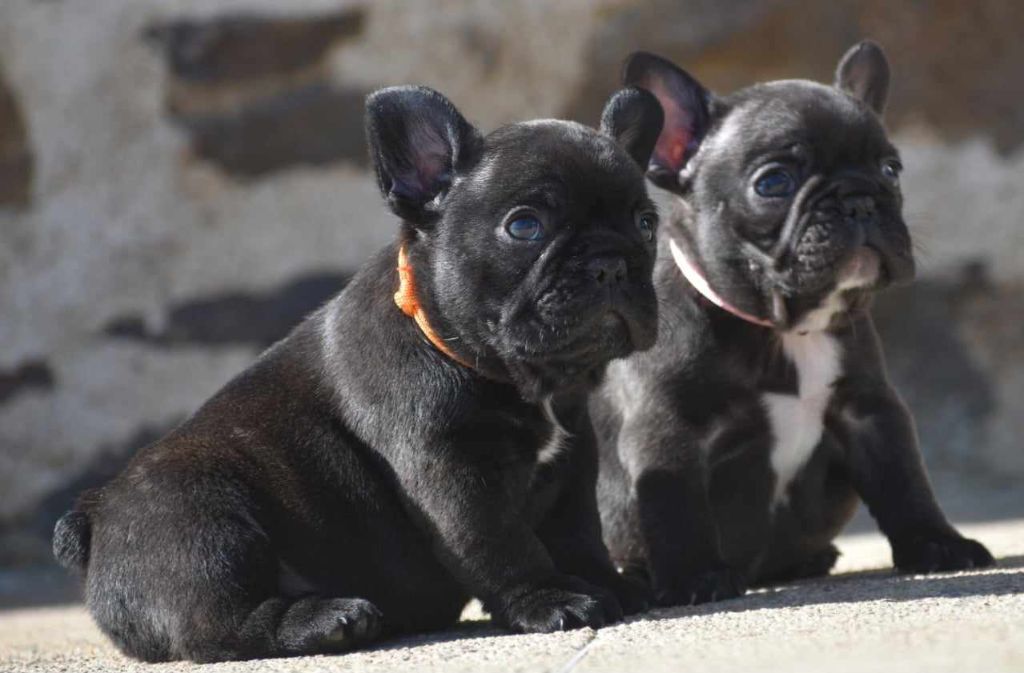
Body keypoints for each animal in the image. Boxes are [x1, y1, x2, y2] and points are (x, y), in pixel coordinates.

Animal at [54, 83, 663, 659]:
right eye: (525, 227)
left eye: (647, 223)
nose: (610, 263)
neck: (525, 379)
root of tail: (94, 515)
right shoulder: (452, 470)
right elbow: (501, 541)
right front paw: (551, 598)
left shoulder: (572, 459)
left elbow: (580, 531)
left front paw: (611, 583)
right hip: (202, 523)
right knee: (221, 624)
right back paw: (329, 619)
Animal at [593, 44, 991, 606]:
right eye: (773, 183)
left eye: (891, 169)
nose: (859, 198)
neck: (786, 329)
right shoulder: (665, 430)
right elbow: (676, 509)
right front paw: (696, 577)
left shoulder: (872, 410)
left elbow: (906, 480)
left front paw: (938, 543)